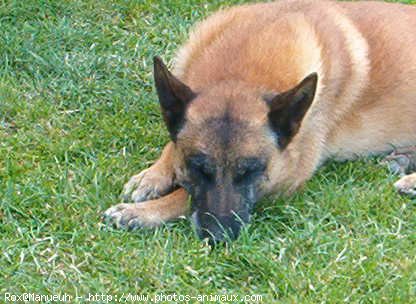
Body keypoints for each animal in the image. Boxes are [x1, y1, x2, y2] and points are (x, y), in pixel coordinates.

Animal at [102, 0, 416, 242]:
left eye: (251, 171)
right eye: (198, 168)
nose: (218, 237)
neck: (243, 76)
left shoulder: (288, 177)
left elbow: (184, 196)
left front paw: (143, 212)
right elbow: (173, 144)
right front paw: (153, 175)